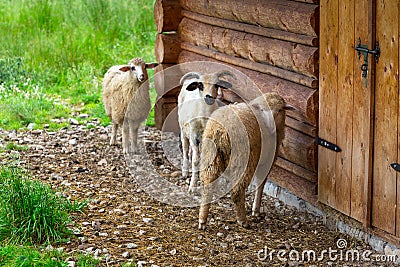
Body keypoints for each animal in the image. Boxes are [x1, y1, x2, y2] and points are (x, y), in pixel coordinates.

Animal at [198, 92, 294, 230]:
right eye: (263, 109)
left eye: (280, 110)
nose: (271, 128)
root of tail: (221, 130)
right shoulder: (266, 161)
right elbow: (261, 184)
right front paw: (256, 210)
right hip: (243, 160)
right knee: (237, 191)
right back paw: (243, 220)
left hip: (210, 158)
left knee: (208, 187)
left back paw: (202, 220)